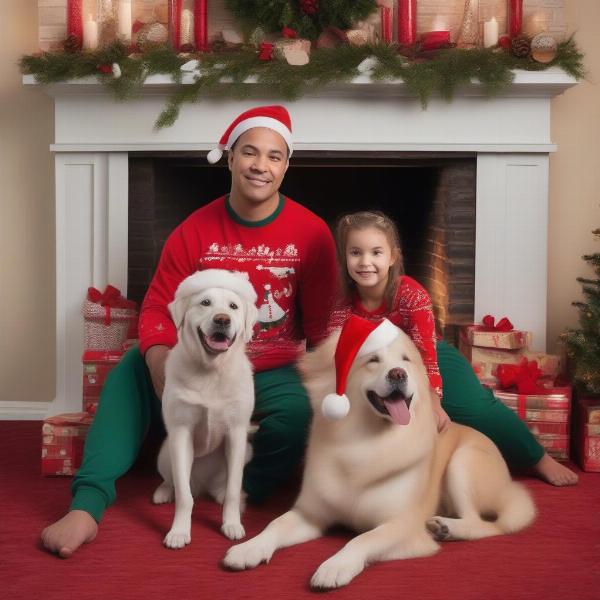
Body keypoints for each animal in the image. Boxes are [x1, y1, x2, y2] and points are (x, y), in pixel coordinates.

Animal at [154, 270, 256, 552]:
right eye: (205, 303)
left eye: (233, 307)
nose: (222, 319)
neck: (211, 370)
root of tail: (203, 486)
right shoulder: (180, 433)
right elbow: (184, 496)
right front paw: (179, 531)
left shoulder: (236, 434)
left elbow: (233, 488)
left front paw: (231, 524)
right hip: (165, 452)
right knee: (176, 483)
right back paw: (164, 491)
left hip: (246, 451)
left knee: (224, 488)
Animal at [221, 316, 536, 588]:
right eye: (373, 360)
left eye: (406, 360)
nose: (398, 374)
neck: (366, 440)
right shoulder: (309, 514)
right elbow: (274, 525)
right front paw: (248, 549)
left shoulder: (400, 526)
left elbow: (361, 540)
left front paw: (334, 567)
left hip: (462, 463)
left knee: (484, 525)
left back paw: (447, 528)